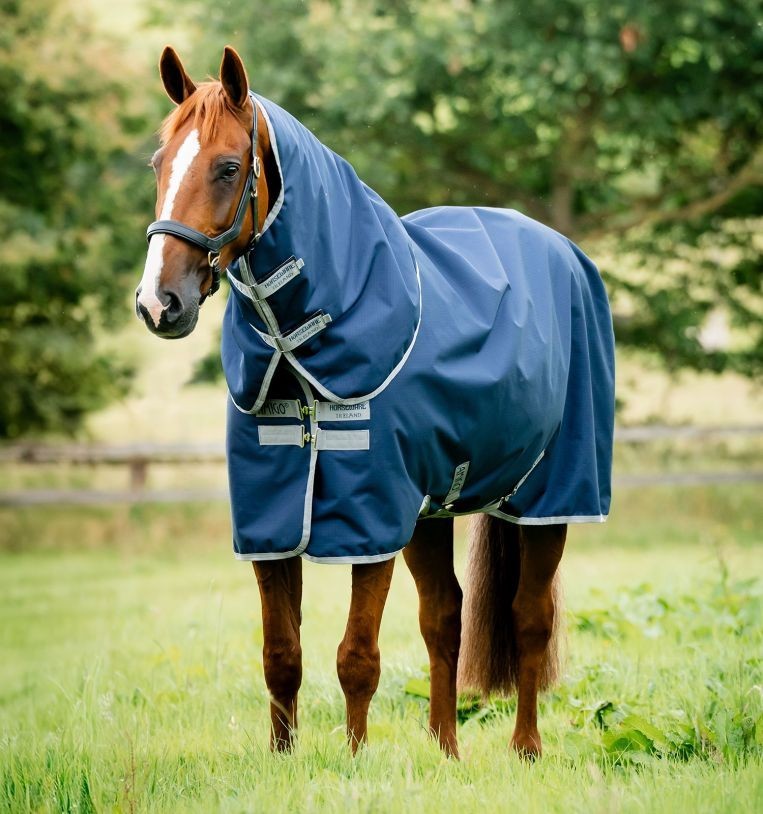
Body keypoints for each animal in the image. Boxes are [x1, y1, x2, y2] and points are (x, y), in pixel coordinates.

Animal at [135, 45, 614, 760]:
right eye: (159, 163)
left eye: (227, 167)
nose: (158, 303)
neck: (300, 347)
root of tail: (563, 251)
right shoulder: (274, 515)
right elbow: (282, 654)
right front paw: (283, 759)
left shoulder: (372, 514)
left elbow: (356, 655)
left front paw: (355, 760)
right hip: (432, 508)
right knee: (445, 615)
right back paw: (445, 749)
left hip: (550, 495)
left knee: (530, 617)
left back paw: (526, 747)